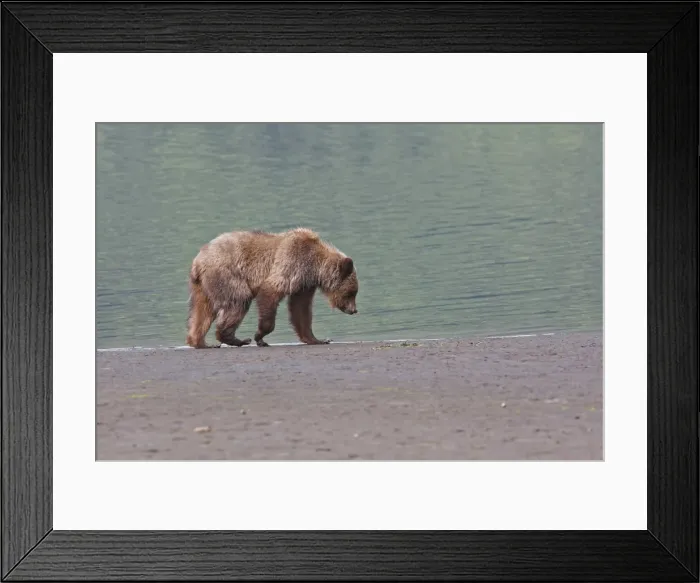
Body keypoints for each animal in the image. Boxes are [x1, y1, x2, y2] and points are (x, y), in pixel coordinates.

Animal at [186, 227, 358, 349]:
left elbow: (301, 309)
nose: (354, 310)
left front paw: (317, 339)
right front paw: (260, 336)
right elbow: (270, 291)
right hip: (226, 274)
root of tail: (197, 261)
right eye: (351, 293)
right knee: (238, 300)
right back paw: (235, 339)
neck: (315, 267)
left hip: (202, 286)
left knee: (202, 312)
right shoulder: (292, 262)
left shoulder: (304, 283)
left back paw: (201, 342)